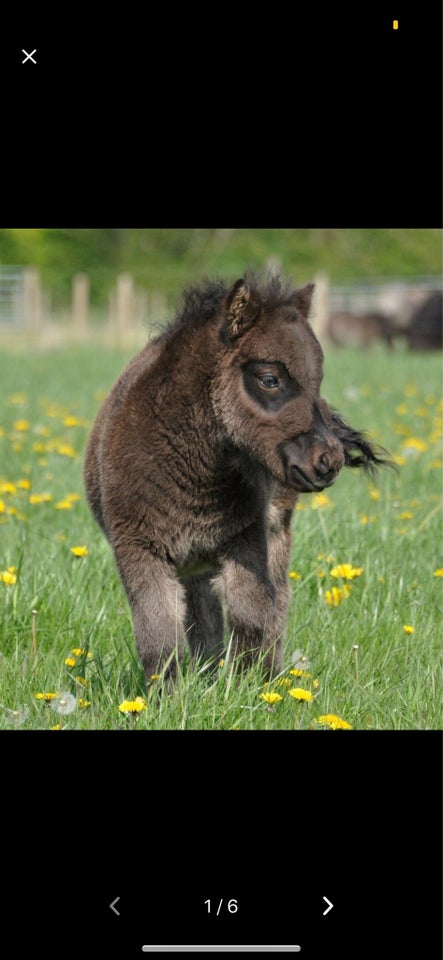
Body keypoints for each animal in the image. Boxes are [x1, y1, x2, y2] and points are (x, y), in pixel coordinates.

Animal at [84, 272, 388, 684]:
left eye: (318, 381)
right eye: (270, 378)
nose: (328, 461)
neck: (195, 476)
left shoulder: (246, 539)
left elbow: (252, 614)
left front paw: (248, 687)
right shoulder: (139, 550)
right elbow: (159, 635)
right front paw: (169, 695)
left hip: (274, 529)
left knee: (276, 599)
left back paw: (264, 675)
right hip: (193, 562)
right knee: (203, 612)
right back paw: (208, 672)